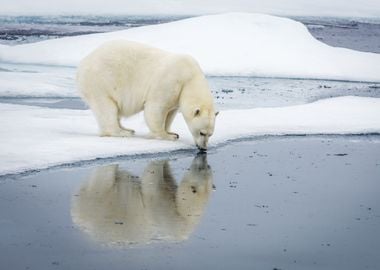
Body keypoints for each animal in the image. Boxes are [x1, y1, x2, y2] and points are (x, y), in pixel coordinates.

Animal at [77, 40, 218, 150]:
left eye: (210, 134)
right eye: (202, 133)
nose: (203, 148)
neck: (189, 78)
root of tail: (83, 63)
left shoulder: (177, 95)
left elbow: (170, 113)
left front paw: (171, 131)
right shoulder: (169, 82)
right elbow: (155, 108)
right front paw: (167, 136)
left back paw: (127, 129)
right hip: (101, 82)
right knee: (106, 108)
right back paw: (122, 132)